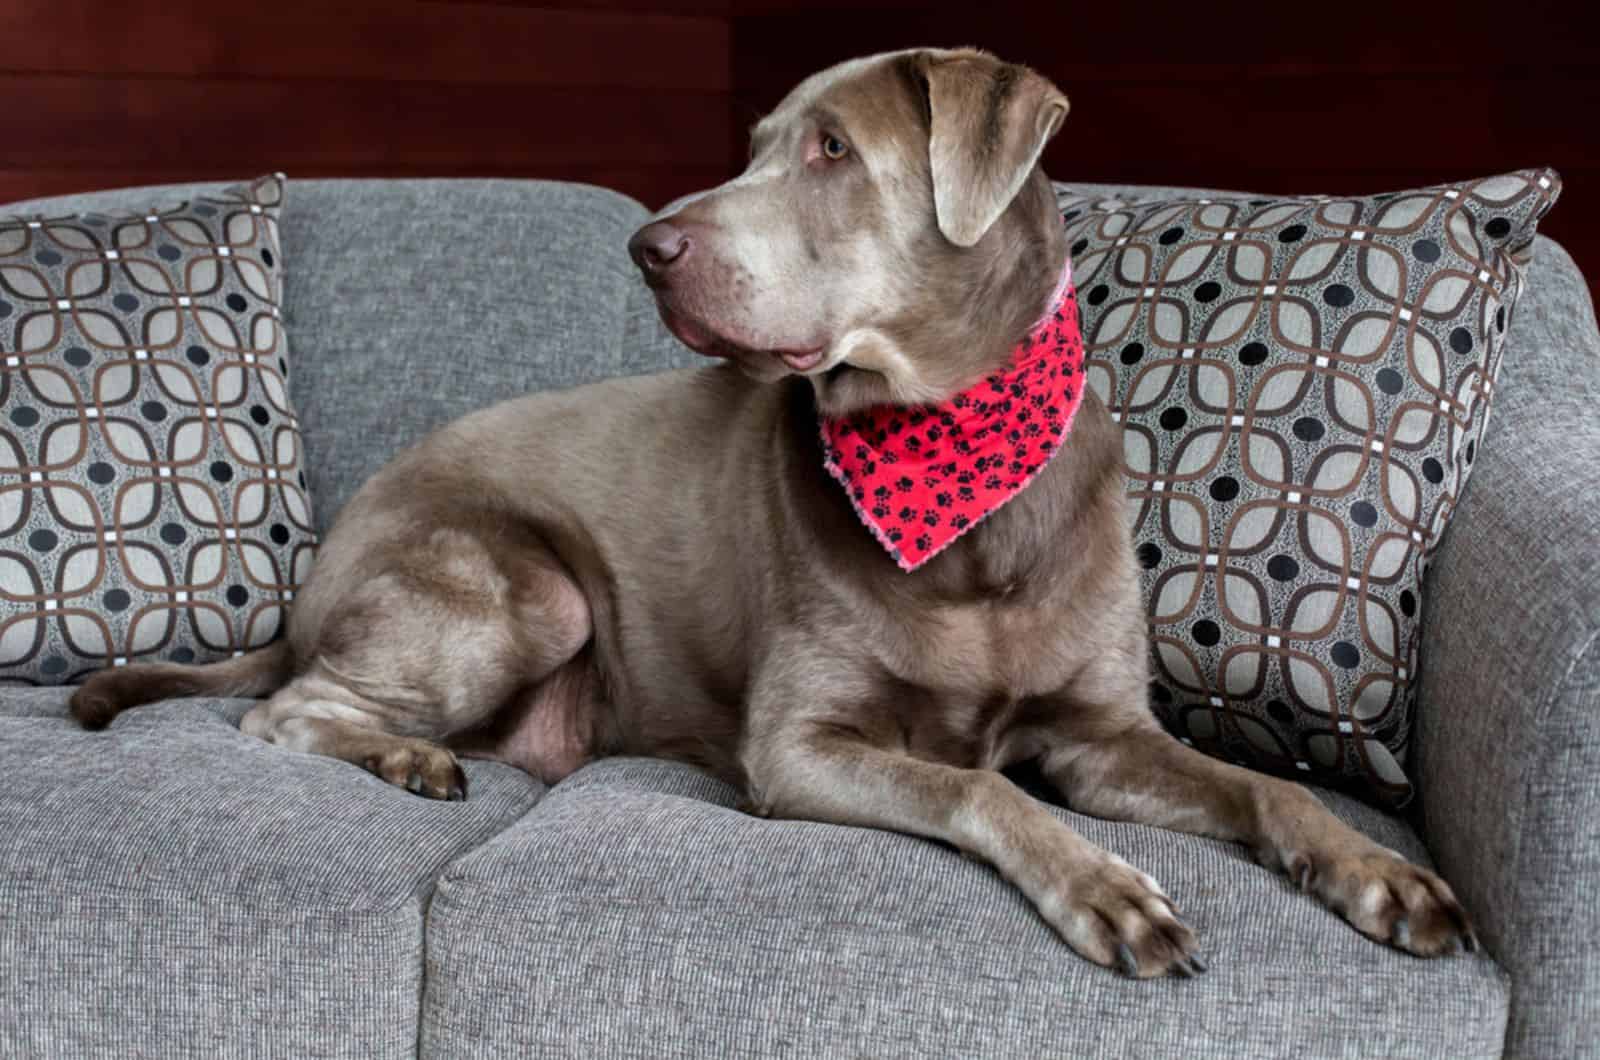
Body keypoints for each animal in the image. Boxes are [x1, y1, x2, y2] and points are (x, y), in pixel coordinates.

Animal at [75, 47, 1472, 979]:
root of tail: (317, 578)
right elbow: (983, 789)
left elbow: (1263, 788)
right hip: (529, 590)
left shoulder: (1100, 734)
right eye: (751, 145)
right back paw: (408, 755)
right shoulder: (801, 747)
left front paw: (1377, 872)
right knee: (282, 709)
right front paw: (1106, 889)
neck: (954, 476)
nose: (647, 247)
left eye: (833, 150)